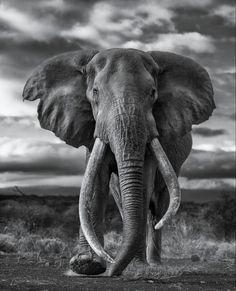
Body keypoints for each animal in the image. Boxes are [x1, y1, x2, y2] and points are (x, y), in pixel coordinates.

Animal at [23, 48, 215, 276]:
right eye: (95, 92)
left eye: (153, 92)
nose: (112, 269)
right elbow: (96, 183)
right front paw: (86, 265)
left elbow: (144, 185)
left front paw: (134, 265)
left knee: (158, 207)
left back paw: (153, 263)